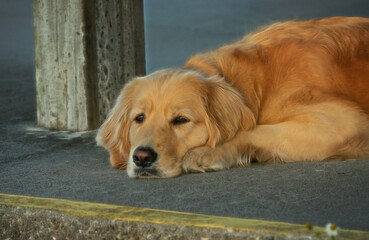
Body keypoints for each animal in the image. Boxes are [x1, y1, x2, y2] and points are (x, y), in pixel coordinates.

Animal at [95, 16, 368, 178]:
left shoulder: (345, 120)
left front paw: (208, 153)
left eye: (181, 120)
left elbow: (257, 130)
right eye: (139, 118)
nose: (142, 157)